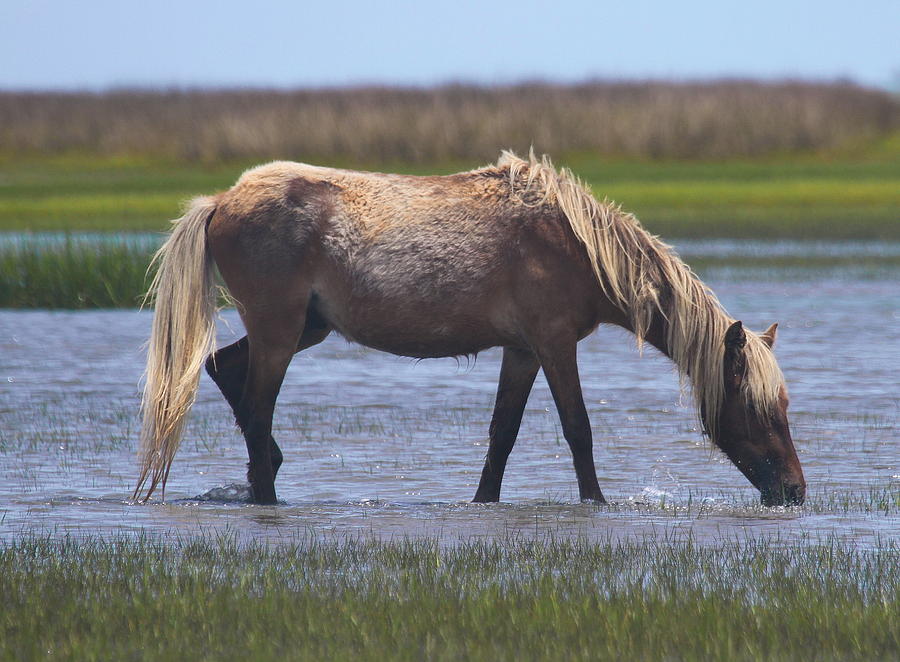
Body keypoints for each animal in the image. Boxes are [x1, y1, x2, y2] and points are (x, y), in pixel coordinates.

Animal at [135, 152, 808, 508]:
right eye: (757, 407)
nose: (796, 491)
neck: (577, 247)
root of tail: (221, 201)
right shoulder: (554, 343)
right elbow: (578, 430)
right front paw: (596, 503)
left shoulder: (523, 350)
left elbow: (501, 437)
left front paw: (484, 503)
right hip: (280, 331)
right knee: (256, 403)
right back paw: (267, 495)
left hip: (307, 328)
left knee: (224, 369)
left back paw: (266, 474)